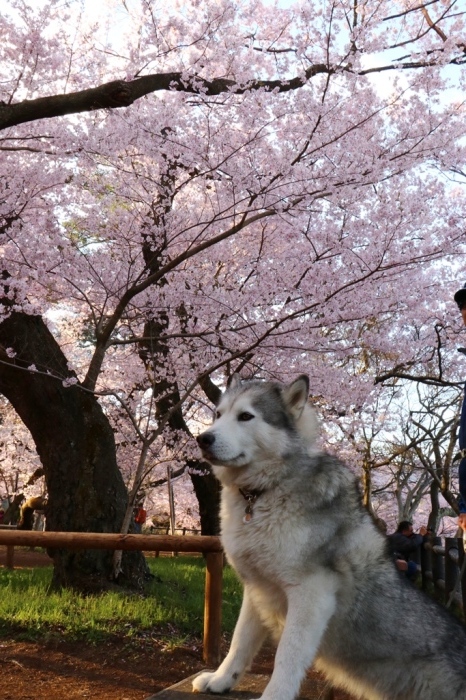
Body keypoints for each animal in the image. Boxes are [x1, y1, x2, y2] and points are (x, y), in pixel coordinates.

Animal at [193, 374, 466, 700]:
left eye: (246, 416)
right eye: (218, 415)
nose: (202, 438)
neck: (263, 493)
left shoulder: (311, 594)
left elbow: (287, 655)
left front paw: (274, 695)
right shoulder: (258, 589)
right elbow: (239, 642)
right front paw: (221, 680)